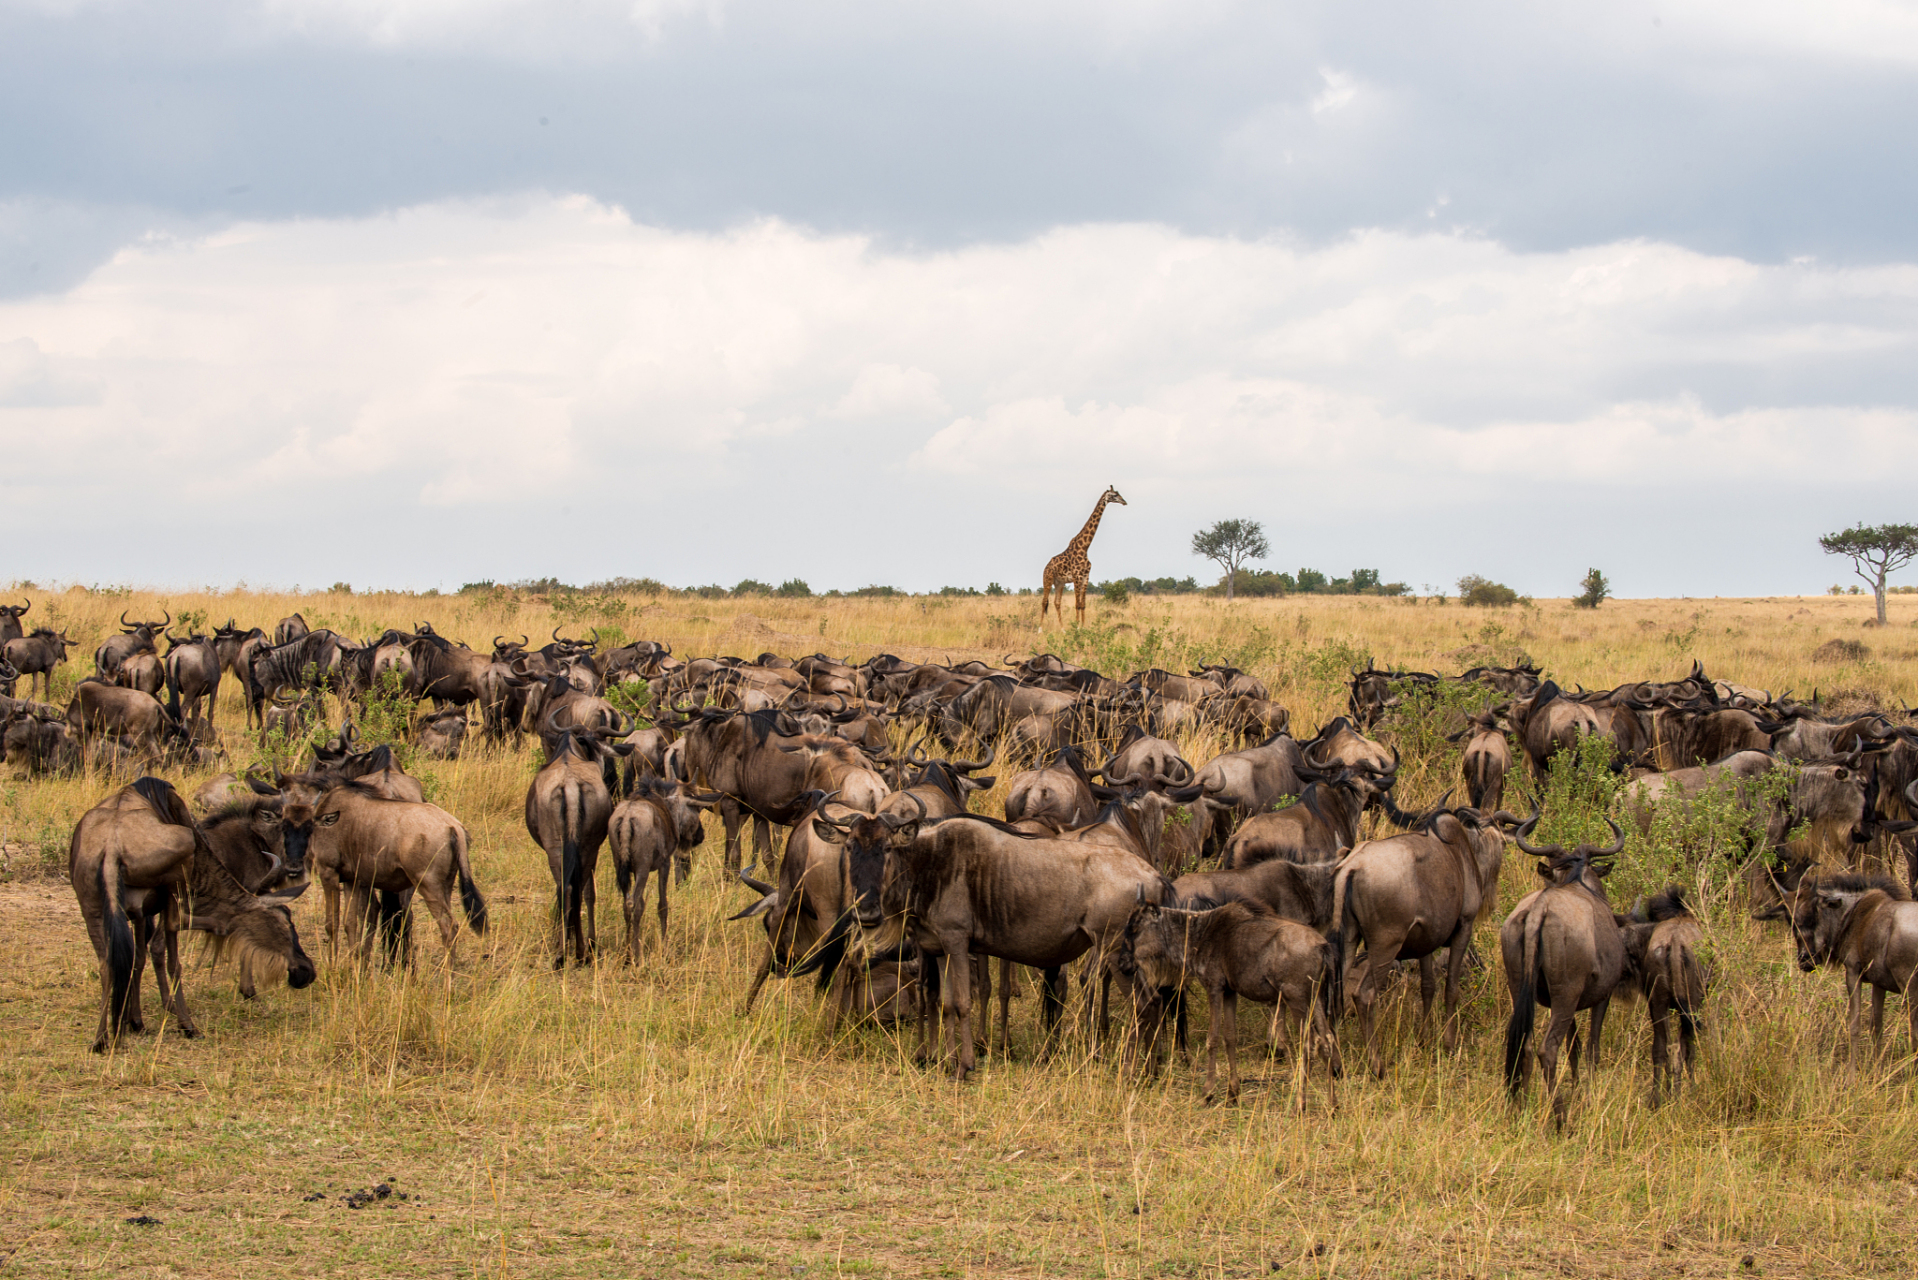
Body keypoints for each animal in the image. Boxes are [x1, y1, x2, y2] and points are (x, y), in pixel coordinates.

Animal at [1043, 485, 1127, 625]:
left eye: (1118, 493)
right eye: (1114, 495)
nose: (1124, 502)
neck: (1084, 547)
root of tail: (1046, 567)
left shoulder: (1086, 577)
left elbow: (1083, 604)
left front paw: (1083, 626)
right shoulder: (1077, 576)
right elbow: (1077, 604)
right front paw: (1076, 626)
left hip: (1059, 583)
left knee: (1056, 602)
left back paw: (1062, 628)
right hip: (1048, 580)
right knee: (1044, 602)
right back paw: (1042, 628)